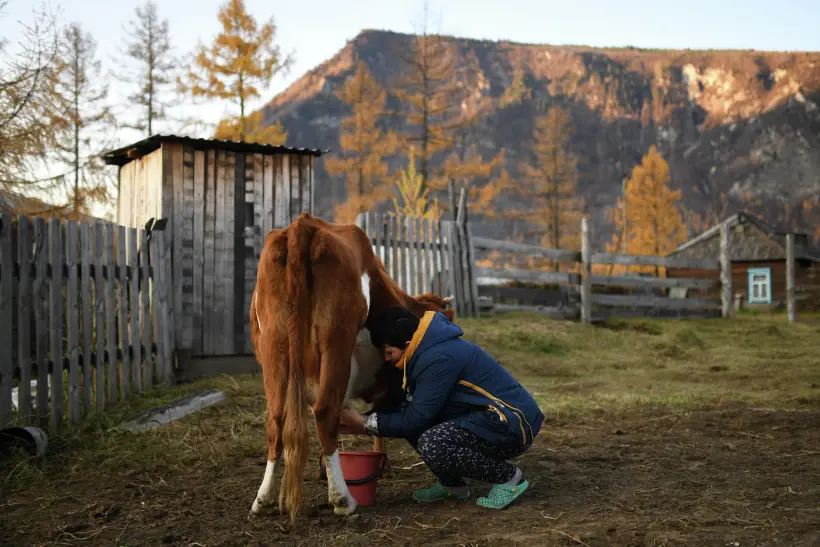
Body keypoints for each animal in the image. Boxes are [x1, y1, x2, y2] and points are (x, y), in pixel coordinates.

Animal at [250, 213, 454, 524]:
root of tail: (303, 225)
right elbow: (380, 419)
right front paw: (383, 466)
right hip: (336, 339)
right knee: (324, 412)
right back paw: (343, 500)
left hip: (274, 344)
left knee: (277, 419)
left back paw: (264, 500)